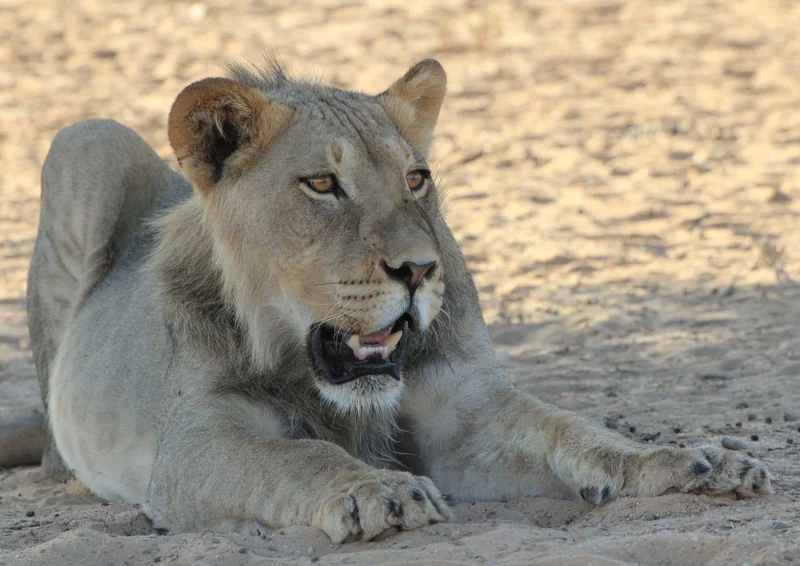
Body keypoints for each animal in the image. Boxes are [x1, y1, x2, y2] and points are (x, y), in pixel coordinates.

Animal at [22, 59, 771, 542]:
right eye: (323, 184)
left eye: (416, 178)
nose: (418, 270)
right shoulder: (194, 442)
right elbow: (298, 457)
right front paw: (374, 491)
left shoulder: (461, 406)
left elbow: (571, 430)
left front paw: (693, 463)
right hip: (85, 140)